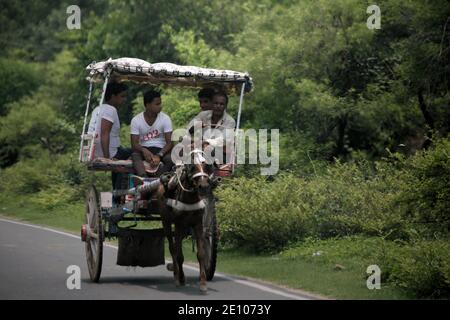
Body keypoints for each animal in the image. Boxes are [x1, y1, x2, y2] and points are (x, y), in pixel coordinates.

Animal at [156, 149, 217, 292]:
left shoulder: (198, 224)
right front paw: (181, 278)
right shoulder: (178, 224)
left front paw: (203, 283)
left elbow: (201, 254)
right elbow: (179, 254)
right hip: (166, 222)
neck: (190, 198)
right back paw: (176, 275)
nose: (203, 186)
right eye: (192, 166)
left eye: (207, 166)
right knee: (173, 248)